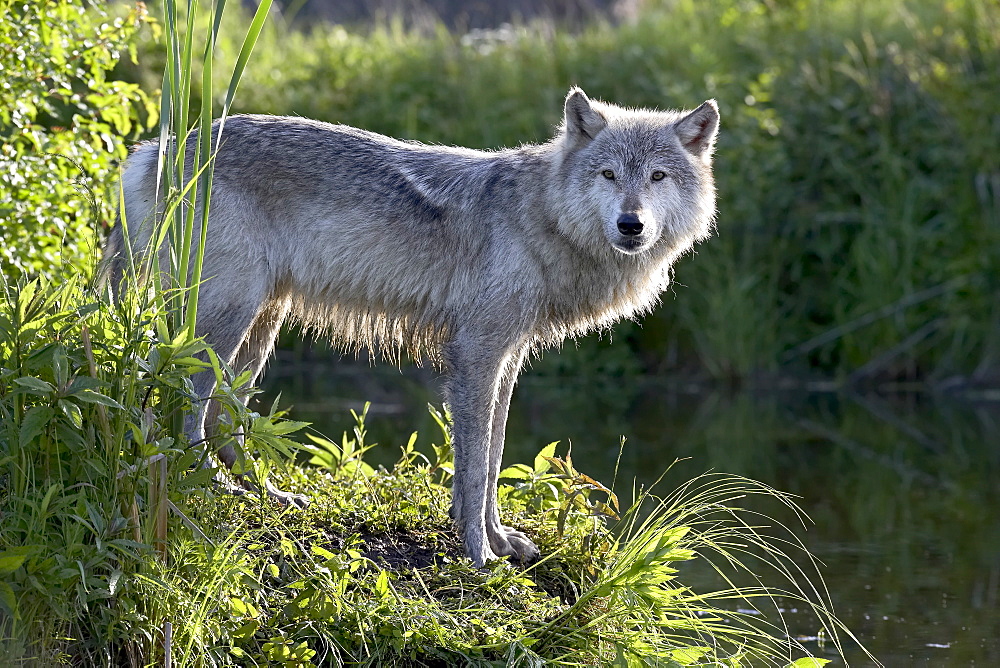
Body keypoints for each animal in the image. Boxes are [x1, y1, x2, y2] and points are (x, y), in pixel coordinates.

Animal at [103, 87, 720, 568]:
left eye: (658, 176)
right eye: (609, 174)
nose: (631, 224)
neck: (542, 218)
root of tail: (151, 150)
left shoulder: (505, 358)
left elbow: (492, 457)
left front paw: (499, 539)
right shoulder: (475, 355)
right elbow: (473, 465)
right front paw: (478, 553)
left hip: (262, 326)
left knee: (228, 416)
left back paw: (267, 495)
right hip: (227, 320)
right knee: (188, 400)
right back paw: (209, 483)